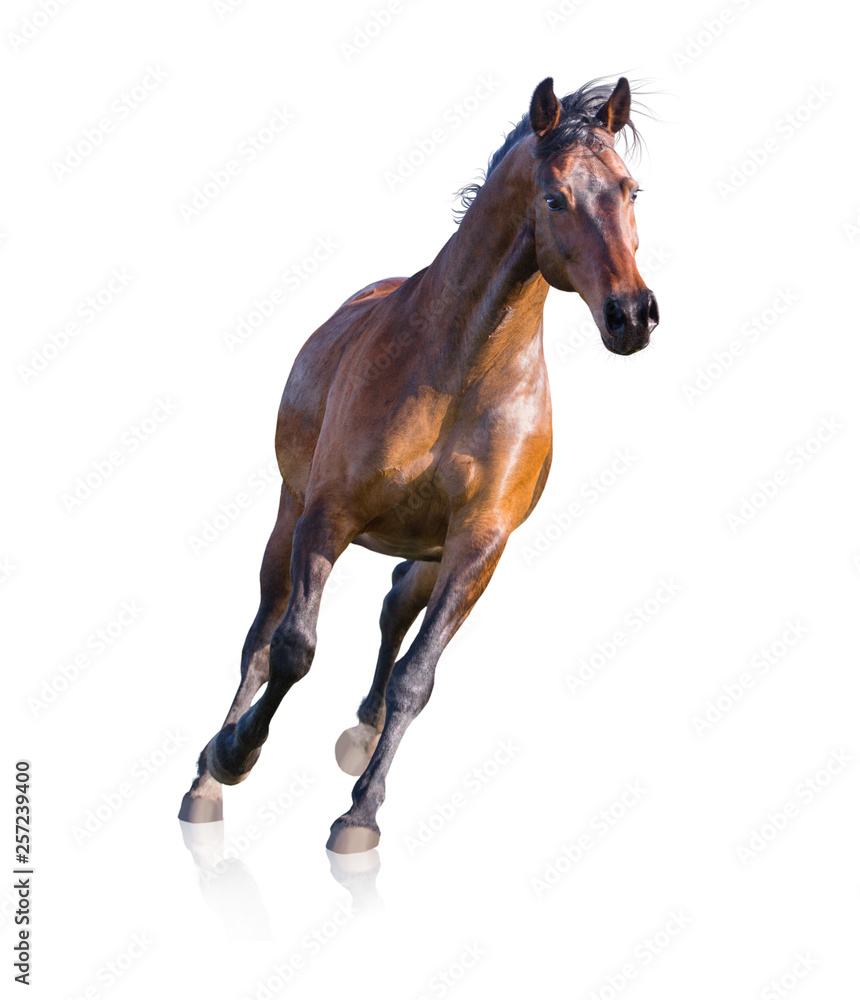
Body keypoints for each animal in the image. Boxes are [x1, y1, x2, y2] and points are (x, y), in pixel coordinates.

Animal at [179, 75, 659, 854]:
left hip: (430, 552)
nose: (633, 314)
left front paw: (360, 815)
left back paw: (361, 729)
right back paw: (205, 784)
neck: (459, 368)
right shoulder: (328, 517)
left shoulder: (477, 546)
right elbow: (292, 650)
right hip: (287, 514)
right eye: (555, 198)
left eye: (630, 189)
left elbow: (417, 679)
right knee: (260, 636)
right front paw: (235, 755)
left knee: (394, 608)